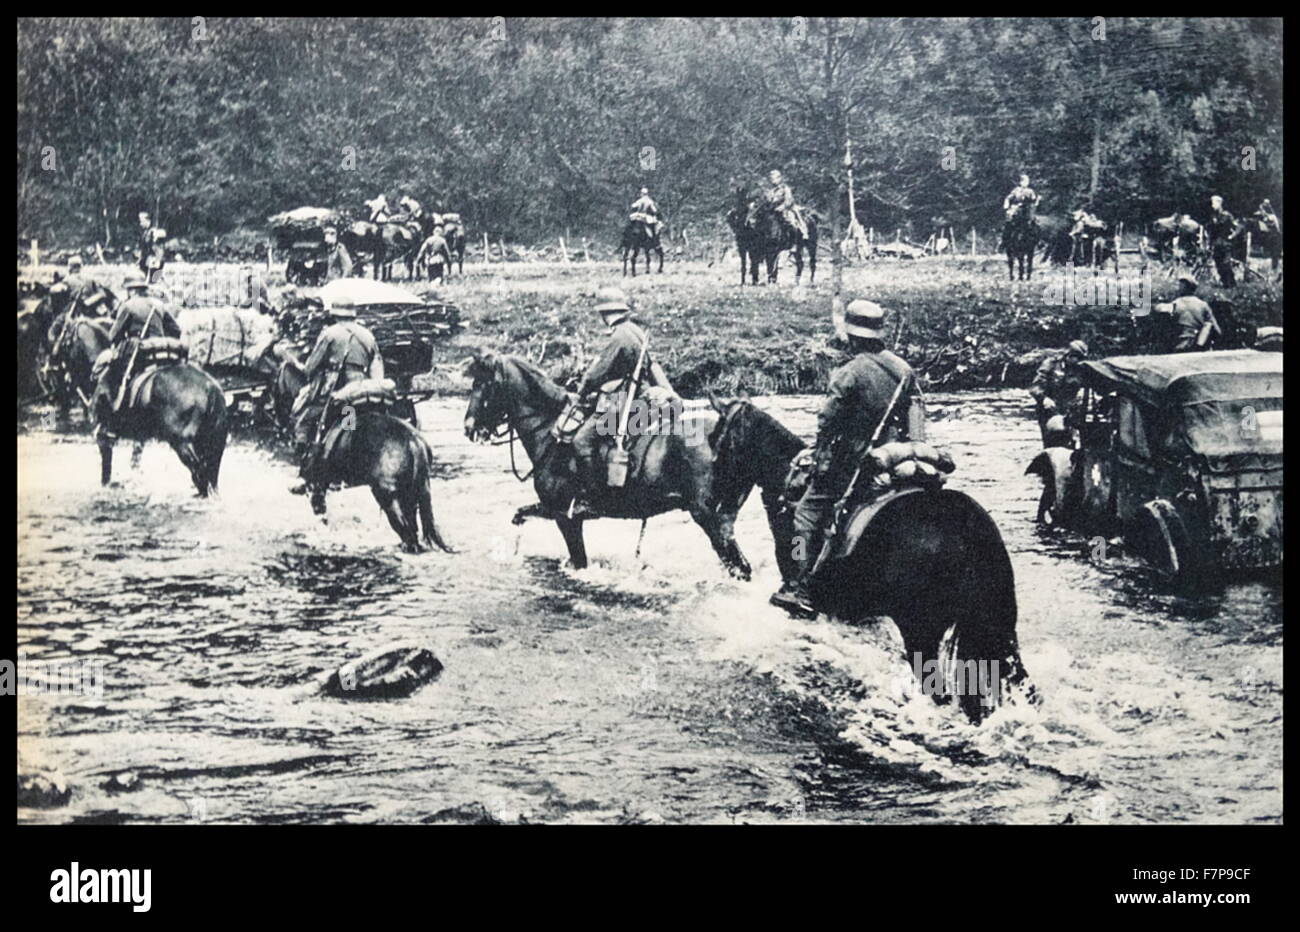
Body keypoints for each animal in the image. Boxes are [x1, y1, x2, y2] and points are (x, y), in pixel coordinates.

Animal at [97, 358, 230, 499]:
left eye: (103, 446)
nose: (105, 482)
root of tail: (210, 388)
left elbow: (135, 459)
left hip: (181, 442)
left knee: (197, 466)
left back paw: (203, 491)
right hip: (216, 440)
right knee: (212, 466)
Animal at [271, 363, 449, 553]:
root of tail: (413, 442)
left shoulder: (317, 484)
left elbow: (321, 511)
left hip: (387, 496)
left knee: (407, 531)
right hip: (417, 491)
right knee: (415, 525)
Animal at [465, 350, 754, 574]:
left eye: (483, 385)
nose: (469, 428)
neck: (550, 431)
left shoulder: (565, 516)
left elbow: (579, 560)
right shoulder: (551, 509)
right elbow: (519, 516)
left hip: (708, 518)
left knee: (740, 567)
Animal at [707, 395, 1029, 722]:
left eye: (717, 441)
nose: (710, 500)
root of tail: (968, 529)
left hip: (921, 632)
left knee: (937, 690)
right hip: (1001, 627)